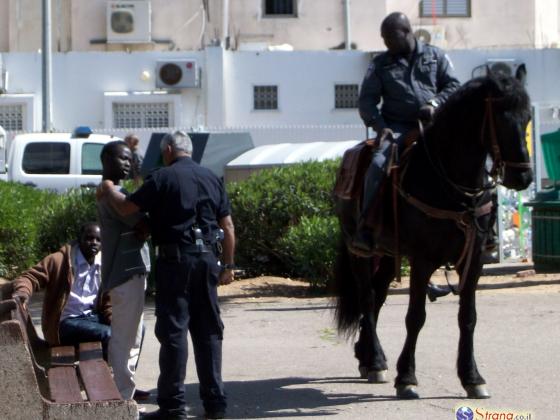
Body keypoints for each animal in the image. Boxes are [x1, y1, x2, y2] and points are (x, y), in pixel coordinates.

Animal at [332, 74, 532, 400]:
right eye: (502, 119)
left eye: (527, 117)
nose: (523, 178)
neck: (450, 182)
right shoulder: (423, 259)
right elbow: (415, 316)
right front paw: (407, 378)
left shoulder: (473, 261)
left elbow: (468, 317)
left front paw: (472, 377)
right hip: (359, 252)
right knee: (367, 298)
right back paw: (375, 361)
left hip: (389, 254)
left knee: (378, 296)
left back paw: (367, 356)